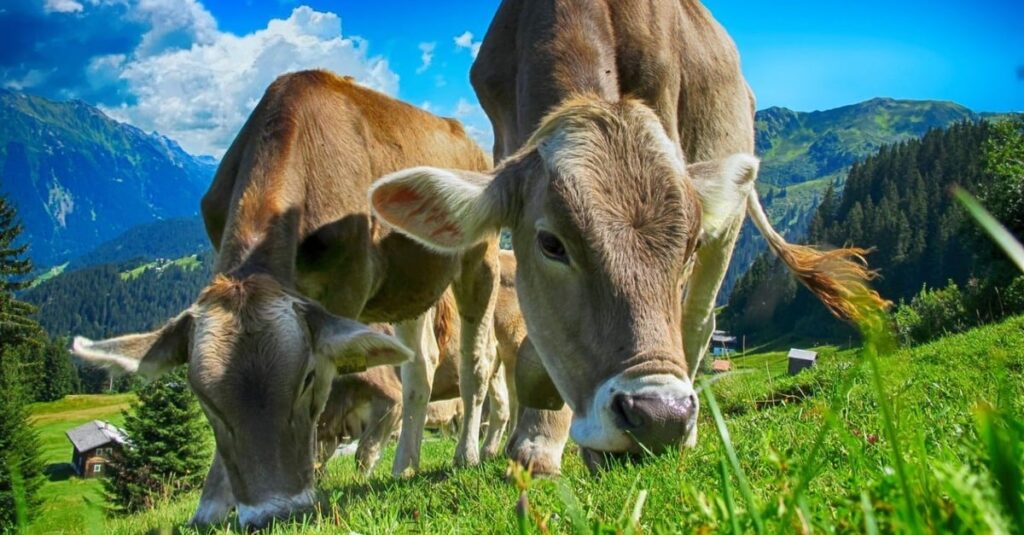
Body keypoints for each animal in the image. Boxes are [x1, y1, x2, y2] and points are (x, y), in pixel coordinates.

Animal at [70, 70, 499, 527]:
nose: (274, 513)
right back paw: (405, 465)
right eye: (203, 398)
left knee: (476, 362)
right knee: (420, 366)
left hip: (480, 258)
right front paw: (212, 506)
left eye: (306, 378)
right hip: (409, 287)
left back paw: (466, 455)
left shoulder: (346, 289)